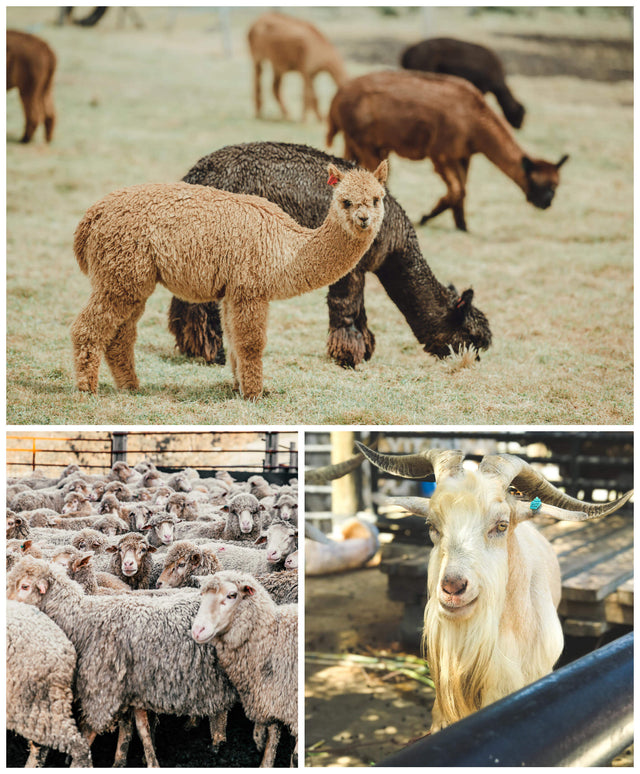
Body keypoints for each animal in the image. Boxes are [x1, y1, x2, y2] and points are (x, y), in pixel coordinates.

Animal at [70, 160, 387, 399]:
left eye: (376, 199)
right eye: (345, 201)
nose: (363, 219)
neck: (288, 248)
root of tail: (92, 216)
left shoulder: (231, 291)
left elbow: (234, 340)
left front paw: (238, 387)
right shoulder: (250, 288)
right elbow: (250, 343)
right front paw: (255, 394)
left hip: (131, 279)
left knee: (121, 334)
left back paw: (130, 387)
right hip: (120, 272)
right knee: (87, 328)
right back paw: (87, 389)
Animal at [169, 141, 491, 369]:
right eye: (471, 338)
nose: (473, 362)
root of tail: (196, 175)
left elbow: (359, 311)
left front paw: (364, 350)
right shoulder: (350, 267)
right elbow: (346, 307)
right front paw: (349, 357)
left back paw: (191, 347)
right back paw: (214, 353)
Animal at [191, 571, 298, 766]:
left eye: (232, 595)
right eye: (202, 594)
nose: (197, 630)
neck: (273, 640)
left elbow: (294, 754)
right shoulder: (271, 699)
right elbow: (273, 736)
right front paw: (265, 761)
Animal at [327, 70, 569, 232]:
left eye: (556, 185)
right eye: (537, 183)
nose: (546, 203)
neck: (474, 120)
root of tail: (338, 97)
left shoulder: (463, 155)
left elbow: (462, 191)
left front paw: (462, 226)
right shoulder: (441, 154)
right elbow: (457, 191)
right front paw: (425, 218)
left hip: (358, 141)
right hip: (366, 142)